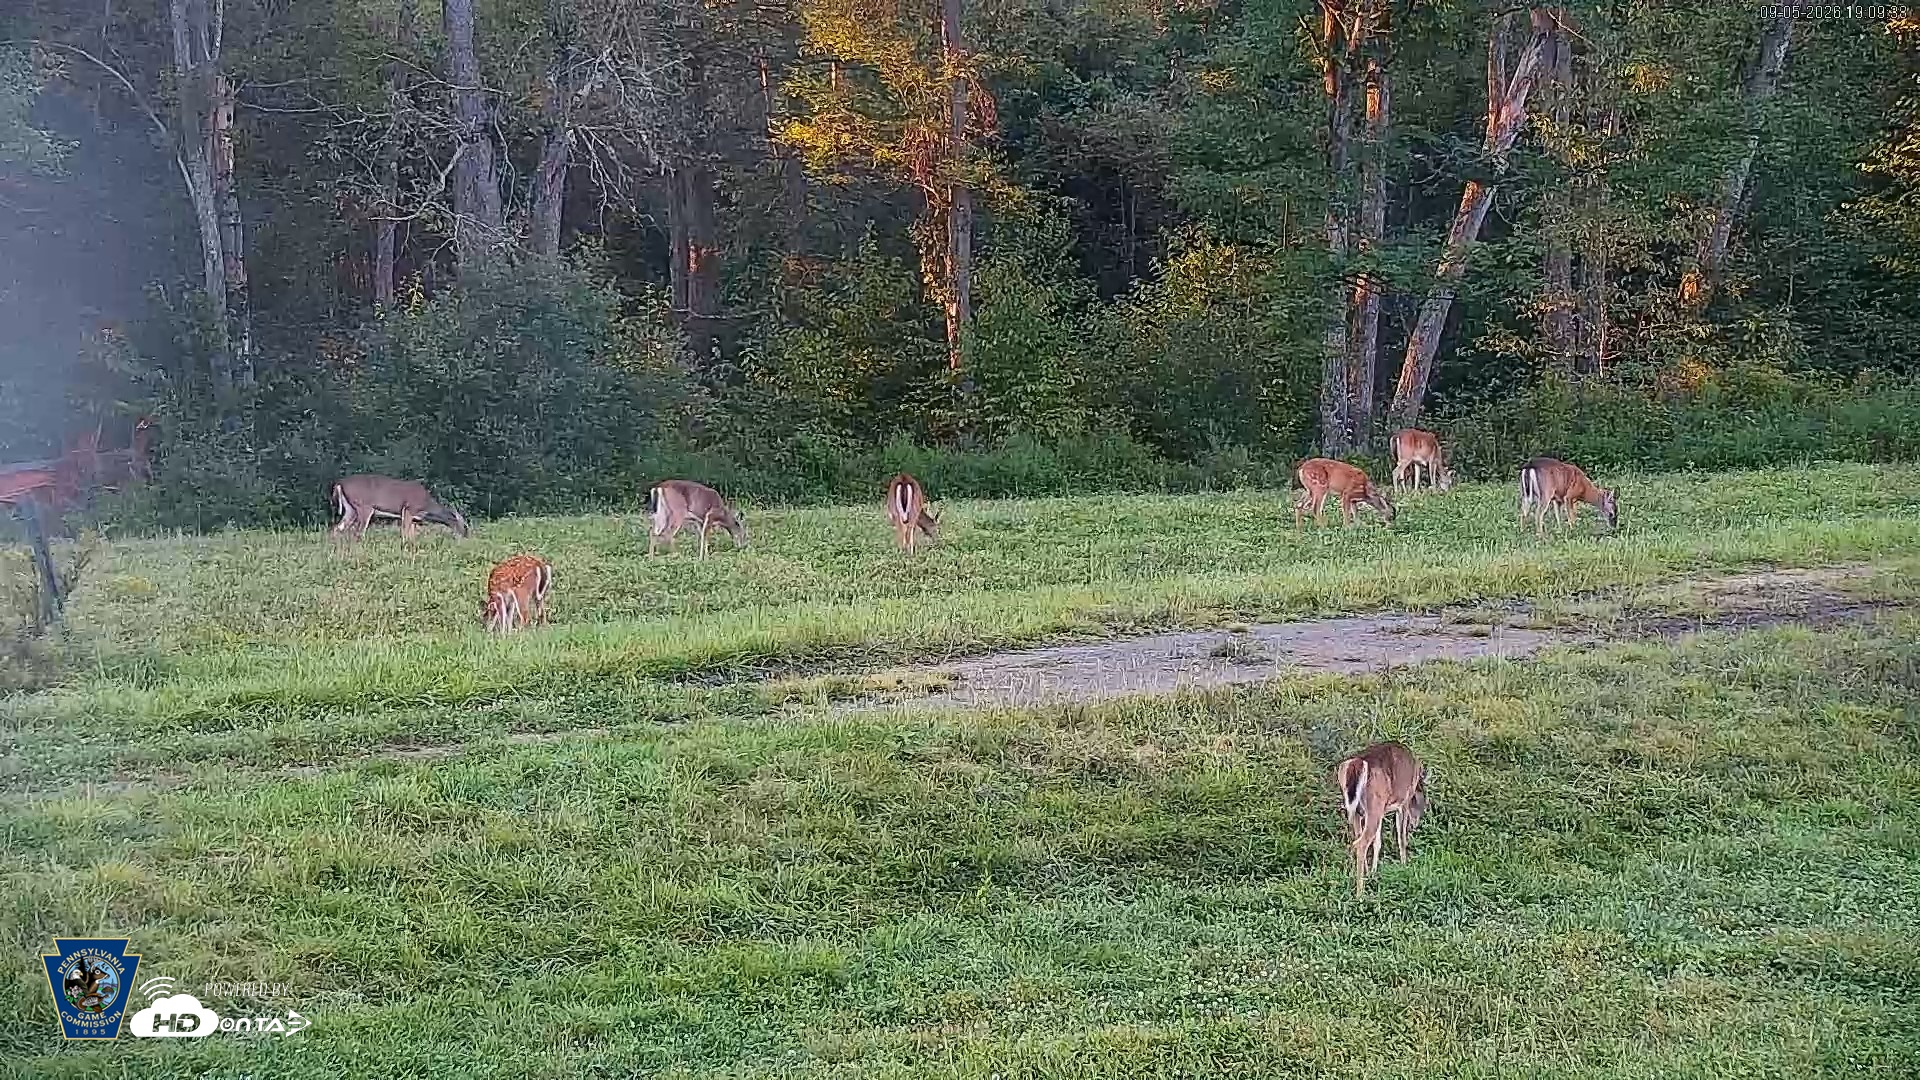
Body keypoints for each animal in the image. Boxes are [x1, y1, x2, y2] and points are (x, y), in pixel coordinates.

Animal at [331, 475, 470, 541]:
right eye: (463, 525)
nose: (465, 536)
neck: (426, 506)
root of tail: (339, 483)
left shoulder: (414, 519)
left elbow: (411, 535)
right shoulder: (408, 509)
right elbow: (405, 533)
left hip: (350, 509)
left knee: (337, 529)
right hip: (364, 506)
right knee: (358, 532)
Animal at [1334, 741, 1429, 899]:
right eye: (1423, 803)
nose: (1415, 824)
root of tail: (1357, 763)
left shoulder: (1382, 811)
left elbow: (1377, 842)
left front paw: (1374, 872)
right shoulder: (1403, 802)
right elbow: (1401, 838)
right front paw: (1404, 866)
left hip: (1359, 811)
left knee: (1359, 838)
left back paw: (1366, 876)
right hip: (1374, 805)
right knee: (1361, 843)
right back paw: (1360, 894)